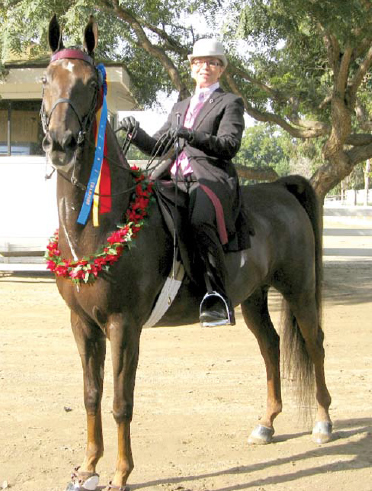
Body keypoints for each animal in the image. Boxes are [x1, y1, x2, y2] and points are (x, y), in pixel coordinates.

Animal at [42, 15, 332, 491]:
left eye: (91, 83)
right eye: (47, 79)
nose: (61, 143)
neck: (101, 225)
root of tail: (280, 189)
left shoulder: (124, 326)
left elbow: (121, 400)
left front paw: (120, 473)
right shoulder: (82, 325)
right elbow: (91, 395)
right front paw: (87, 467)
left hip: (300, 290)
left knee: (314, 343)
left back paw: (324, 422)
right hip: (252, 298)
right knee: (270, 346)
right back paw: (266, 424)